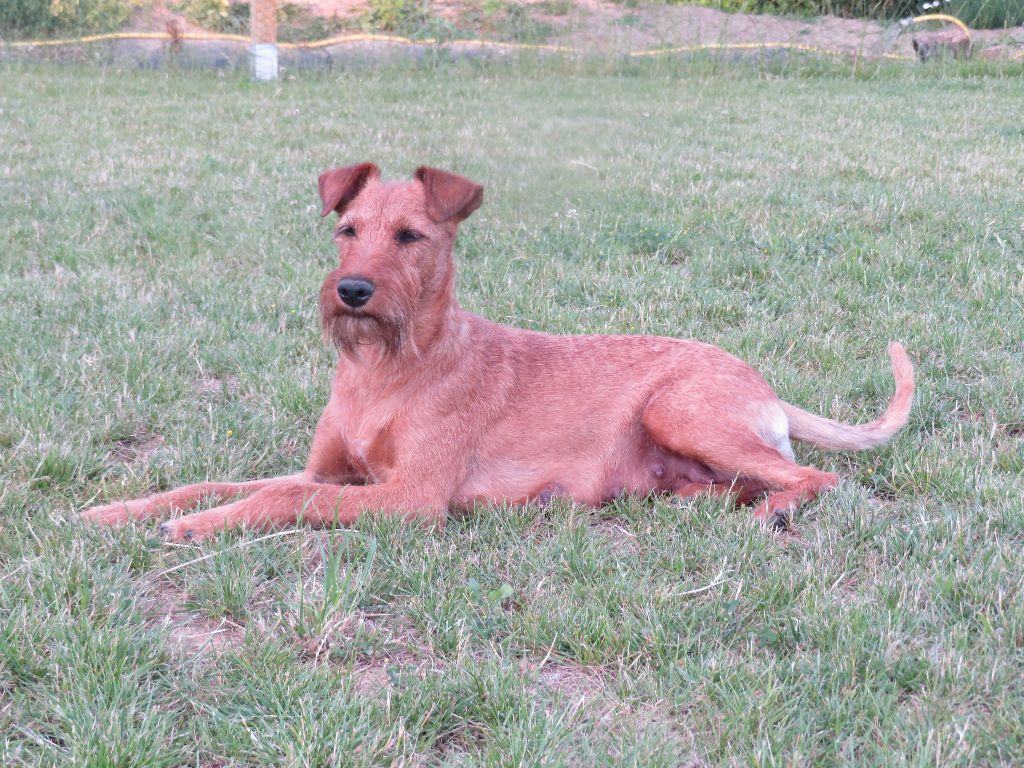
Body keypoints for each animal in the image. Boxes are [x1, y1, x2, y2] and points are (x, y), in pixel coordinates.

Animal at [82, 164, 914, 541]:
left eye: (411, 237)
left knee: (815, 475)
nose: (351, 291)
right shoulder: (331, 471)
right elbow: (211, 481)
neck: (387, 369)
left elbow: (283, 499)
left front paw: (204, 526)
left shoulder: (411, 497)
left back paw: (775, 508)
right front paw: (118, 508)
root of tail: (768, 390)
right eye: (347, 228)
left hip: (680, 409)